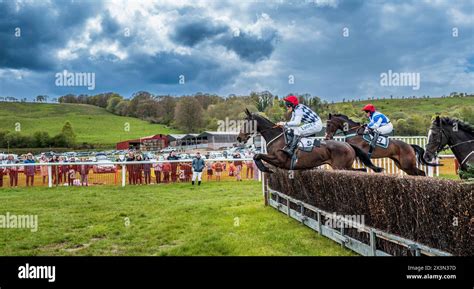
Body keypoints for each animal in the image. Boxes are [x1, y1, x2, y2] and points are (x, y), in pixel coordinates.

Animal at [235, 107, 384, 171]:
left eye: (246, 123)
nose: (239, 137)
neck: (277, 138)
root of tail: (348, 145)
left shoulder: (279, 159)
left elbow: (257, 155)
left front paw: (264, 169)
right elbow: (257, 155)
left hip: (340, 167)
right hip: (344, 166)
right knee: (362, 170)